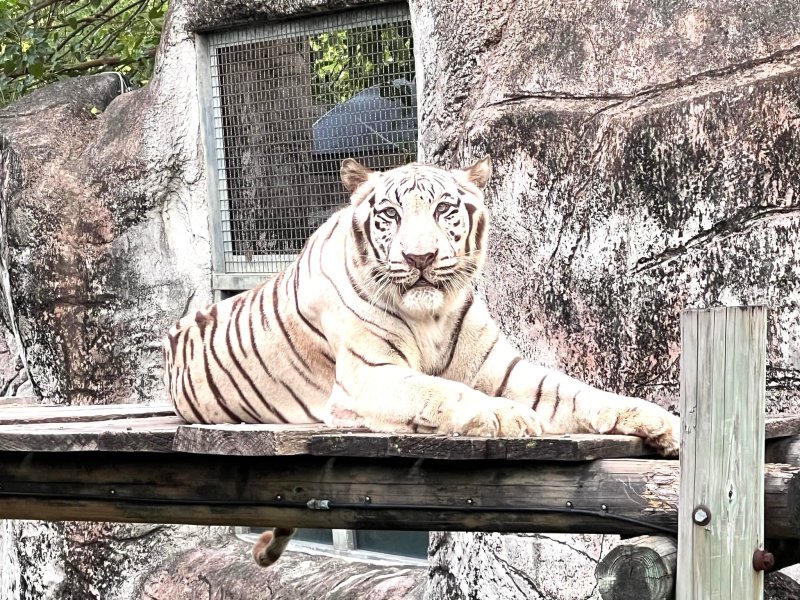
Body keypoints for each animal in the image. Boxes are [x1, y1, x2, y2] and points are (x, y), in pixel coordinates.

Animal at [163, 156, 680, 567]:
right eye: (390, 214)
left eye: (443, 210)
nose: (420, 257)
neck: (430, 313)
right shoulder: (369, 375)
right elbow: (440, 389)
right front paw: (505, 415)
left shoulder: (502, 369)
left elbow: (579, 391)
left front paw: (665, 423)